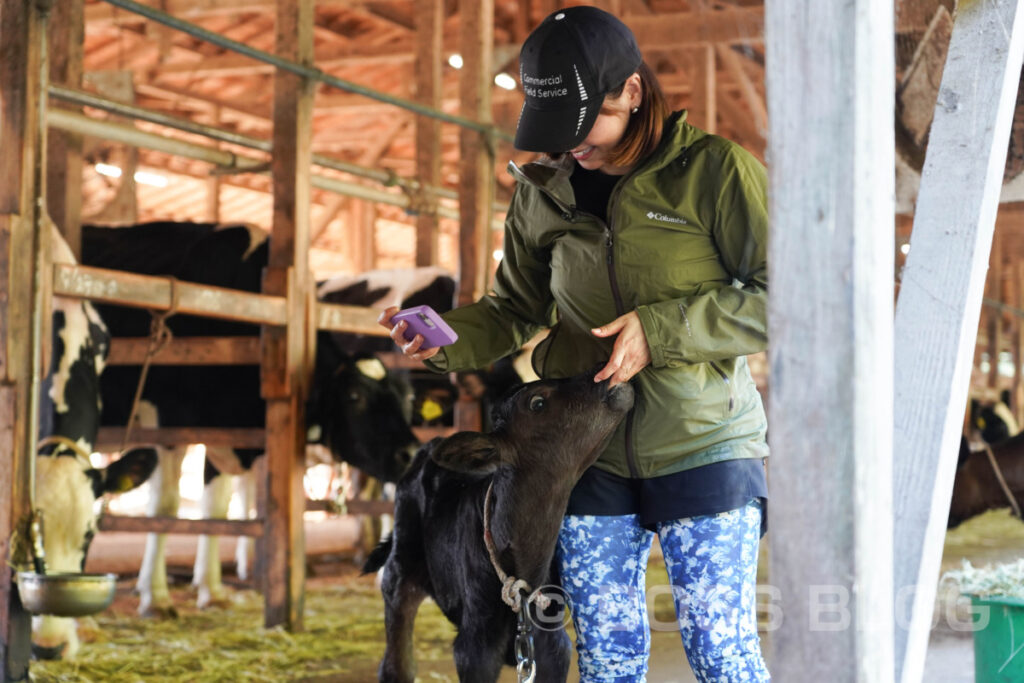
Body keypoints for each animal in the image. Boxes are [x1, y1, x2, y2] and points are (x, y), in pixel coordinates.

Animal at [79, 222, 421, 618]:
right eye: (355, 397)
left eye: (406, 398)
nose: (410, 452)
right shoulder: (167, 425)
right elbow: (164, 508)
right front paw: (156, 596)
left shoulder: (226, 430)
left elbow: (217, 507)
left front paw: (211, 590)